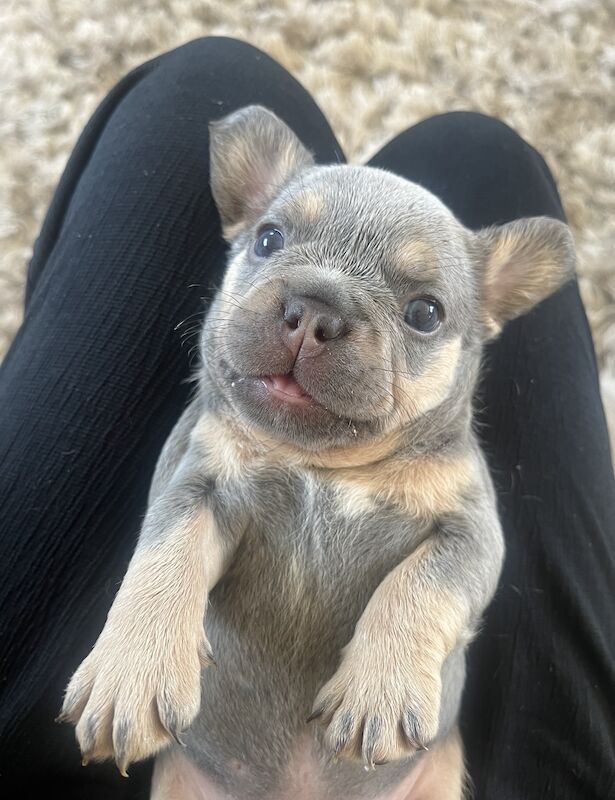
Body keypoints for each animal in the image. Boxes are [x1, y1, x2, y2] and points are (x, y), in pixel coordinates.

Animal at [60, 106, 576, 800]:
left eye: (425, 313)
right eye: (268, 240)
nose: (314, 308)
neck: (322, 465)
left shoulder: (469, 534)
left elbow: (421, 585)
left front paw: (380, 688)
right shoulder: (196, 484)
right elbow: (165, 558)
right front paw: (131, 670)